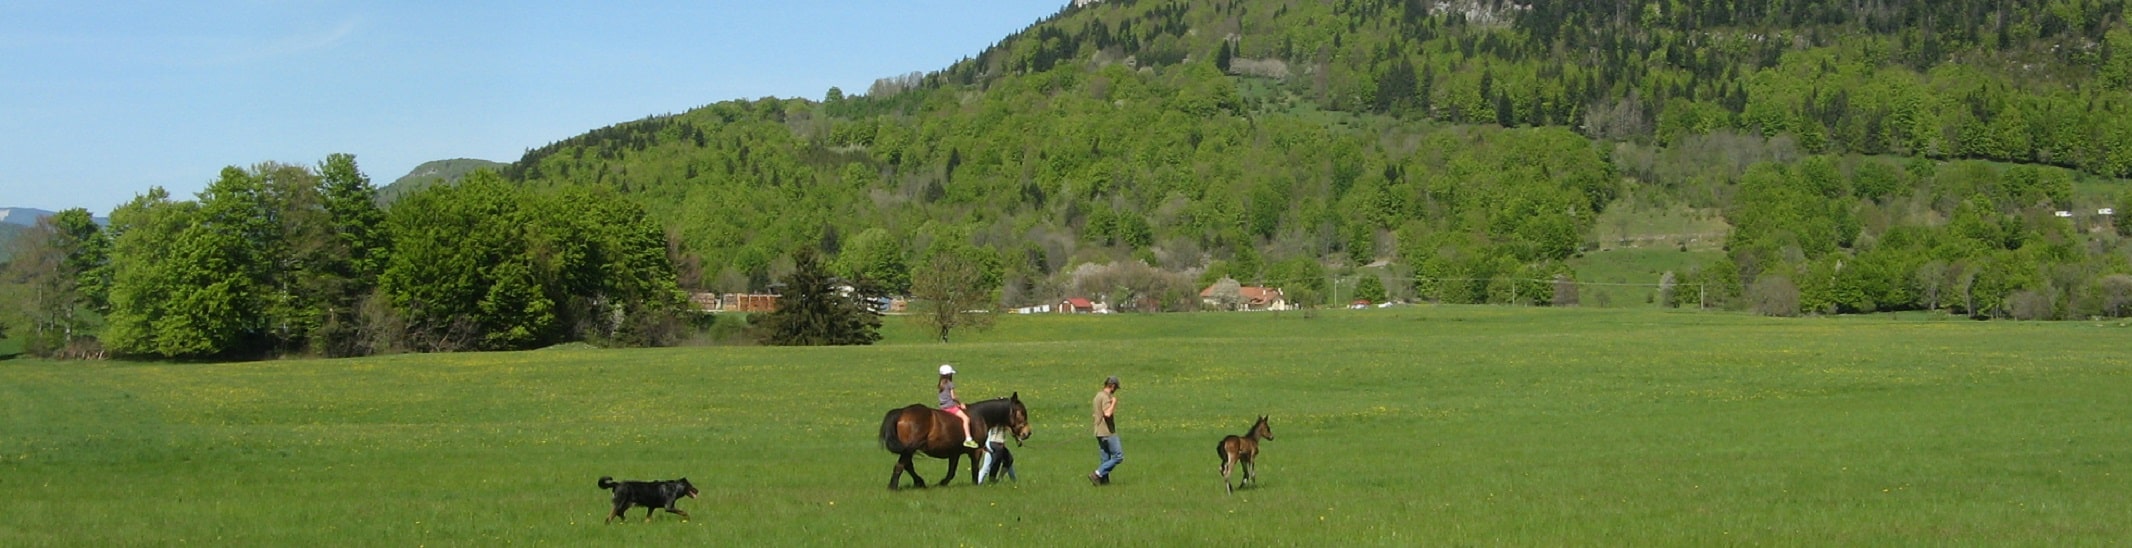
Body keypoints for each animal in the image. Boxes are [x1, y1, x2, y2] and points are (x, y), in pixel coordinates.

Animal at [874, 390, 1023, 488]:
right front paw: (975, 485)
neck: (980, 416)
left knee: (907, 465)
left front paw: (942, 483)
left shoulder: (954, 453)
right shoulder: (976, 451)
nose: (1026, 433)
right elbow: (974, 469)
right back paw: (894, 486)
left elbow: (951, 472)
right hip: (909, 449)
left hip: (908, 449)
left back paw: (918, 482)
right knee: (901, 465)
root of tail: (902, 412)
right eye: (1021, 412)